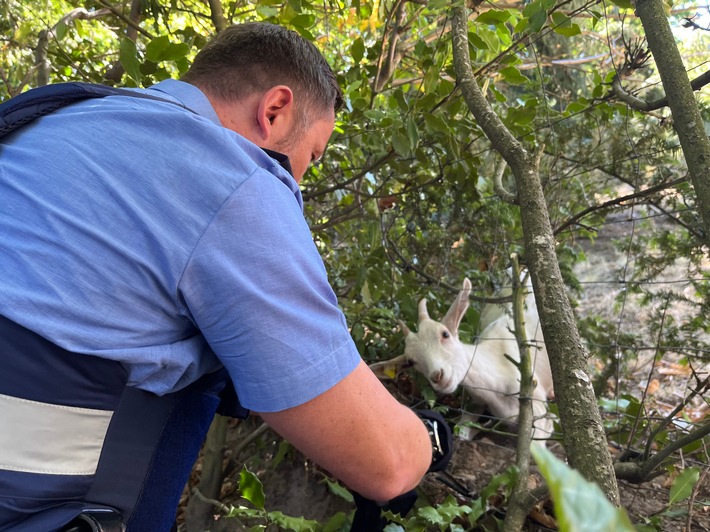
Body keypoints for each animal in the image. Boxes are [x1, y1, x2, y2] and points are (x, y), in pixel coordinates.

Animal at [372, 276, 556, 446]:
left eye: (445, 334)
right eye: (410, 361)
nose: (438, 376)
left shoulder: (538, 410)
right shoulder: (477, 402)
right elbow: (461, 430)